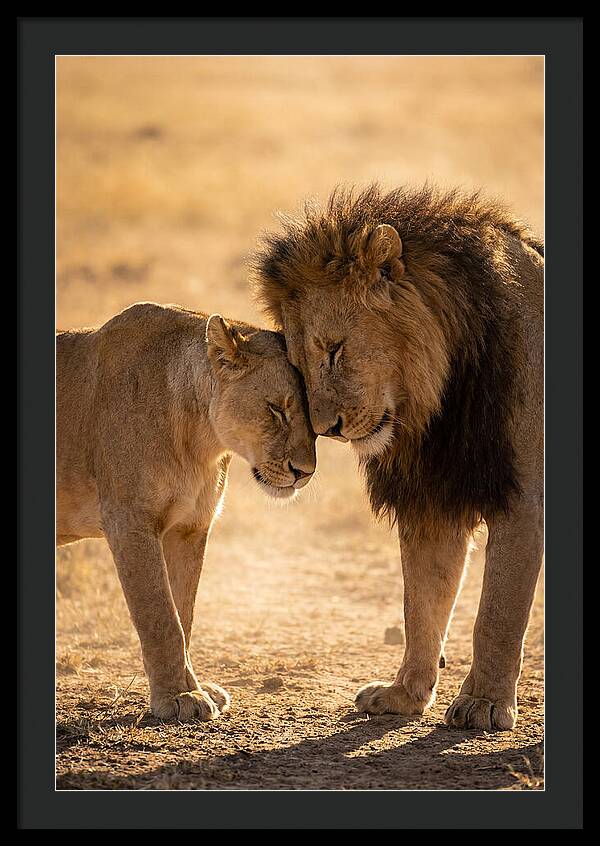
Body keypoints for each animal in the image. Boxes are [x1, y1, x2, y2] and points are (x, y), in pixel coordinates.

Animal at [57, 302, 316, 721]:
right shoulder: (129, 522)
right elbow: (161, 617)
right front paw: (179, 696)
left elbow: (184, 612)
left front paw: (194, 686)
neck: (201, 440)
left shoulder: (190, 527)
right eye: (277, 410)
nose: (305, 472)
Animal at [253, 184, 543, 731]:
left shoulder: (524, 498)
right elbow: (421, 604)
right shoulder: (432, 500)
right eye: (298, 365)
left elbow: (497, 613)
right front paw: (405, 695)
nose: (327, 429)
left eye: (334, 349)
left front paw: (484, 703)